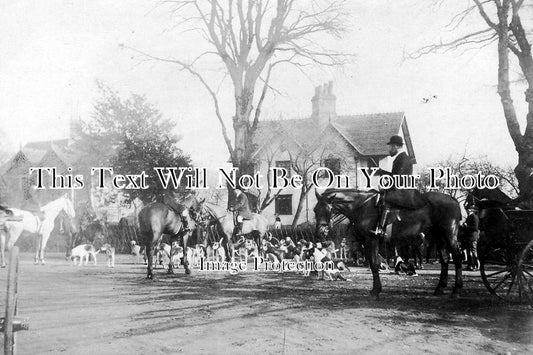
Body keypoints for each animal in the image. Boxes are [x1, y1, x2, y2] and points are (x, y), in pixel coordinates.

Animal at [312, 191, 462, 298]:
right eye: (315, 210)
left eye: (326, 209)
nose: (320, 232)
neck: (362, 206)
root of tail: (453, 200)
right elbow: (373, 264)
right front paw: (376, 289)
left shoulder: (371, 241)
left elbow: (373, 264)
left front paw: (376, 290)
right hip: (439, 237)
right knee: (445, 260)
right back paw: (440, 289)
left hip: (449, 235)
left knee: (457, 257)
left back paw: (457, 290)